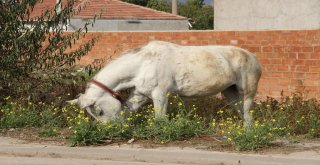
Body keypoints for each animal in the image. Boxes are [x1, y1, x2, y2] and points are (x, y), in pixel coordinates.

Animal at [69, 40, 262, 125]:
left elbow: (160, 118)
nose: (111, 130)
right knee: (243, 113)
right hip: (231, 92)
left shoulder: (160, 95)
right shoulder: (140, 94)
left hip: (247, 93)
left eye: (99, 111)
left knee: (248, 114)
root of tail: (254, 57)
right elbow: (128, 109)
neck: (143, 63)